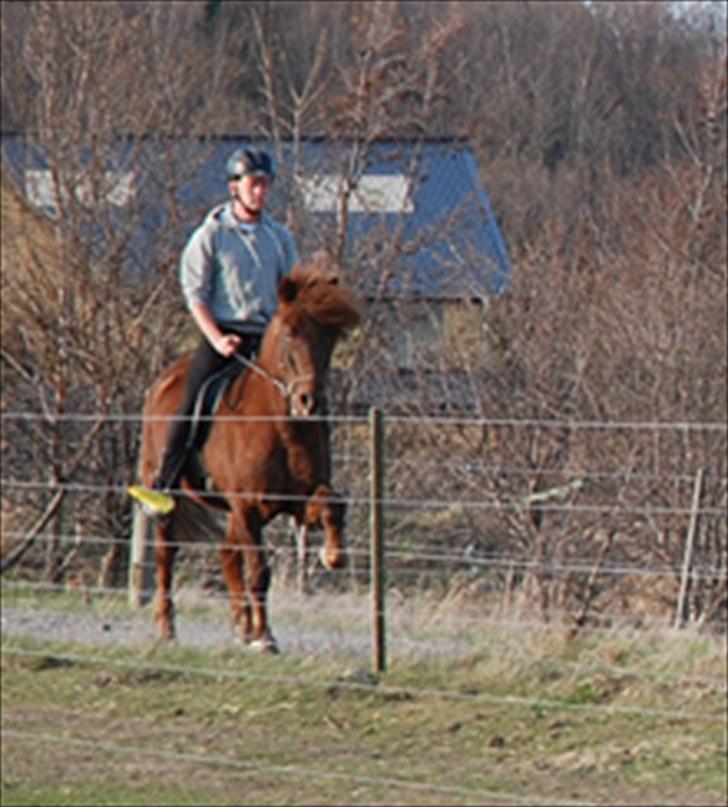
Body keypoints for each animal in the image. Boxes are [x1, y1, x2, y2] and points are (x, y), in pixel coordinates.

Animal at [135, 262, 360, 652]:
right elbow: (259, 572)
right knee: (166, 553)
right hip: (171, 495)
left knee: (227, 553)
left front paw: (333, 555)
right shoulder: (249, 506)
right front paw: (265, 637)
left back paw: (241, 625)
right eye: (290, 332)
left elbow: (332, 504)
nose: (309, 401)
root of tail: (162, 381)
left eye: (330, 338)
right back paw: (166, 627)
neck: (282, 428)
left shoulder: (296, 501)